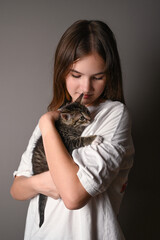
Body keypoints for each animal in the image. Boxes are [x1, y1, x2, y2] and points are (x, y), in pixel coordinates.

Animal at [32, 93, 102, 227]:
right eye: (81, 118)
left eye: (86, 111)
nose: (90, 119)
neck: (66, 125)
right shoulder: (68, 142)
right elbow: (81, 140)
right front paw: (94, 138)